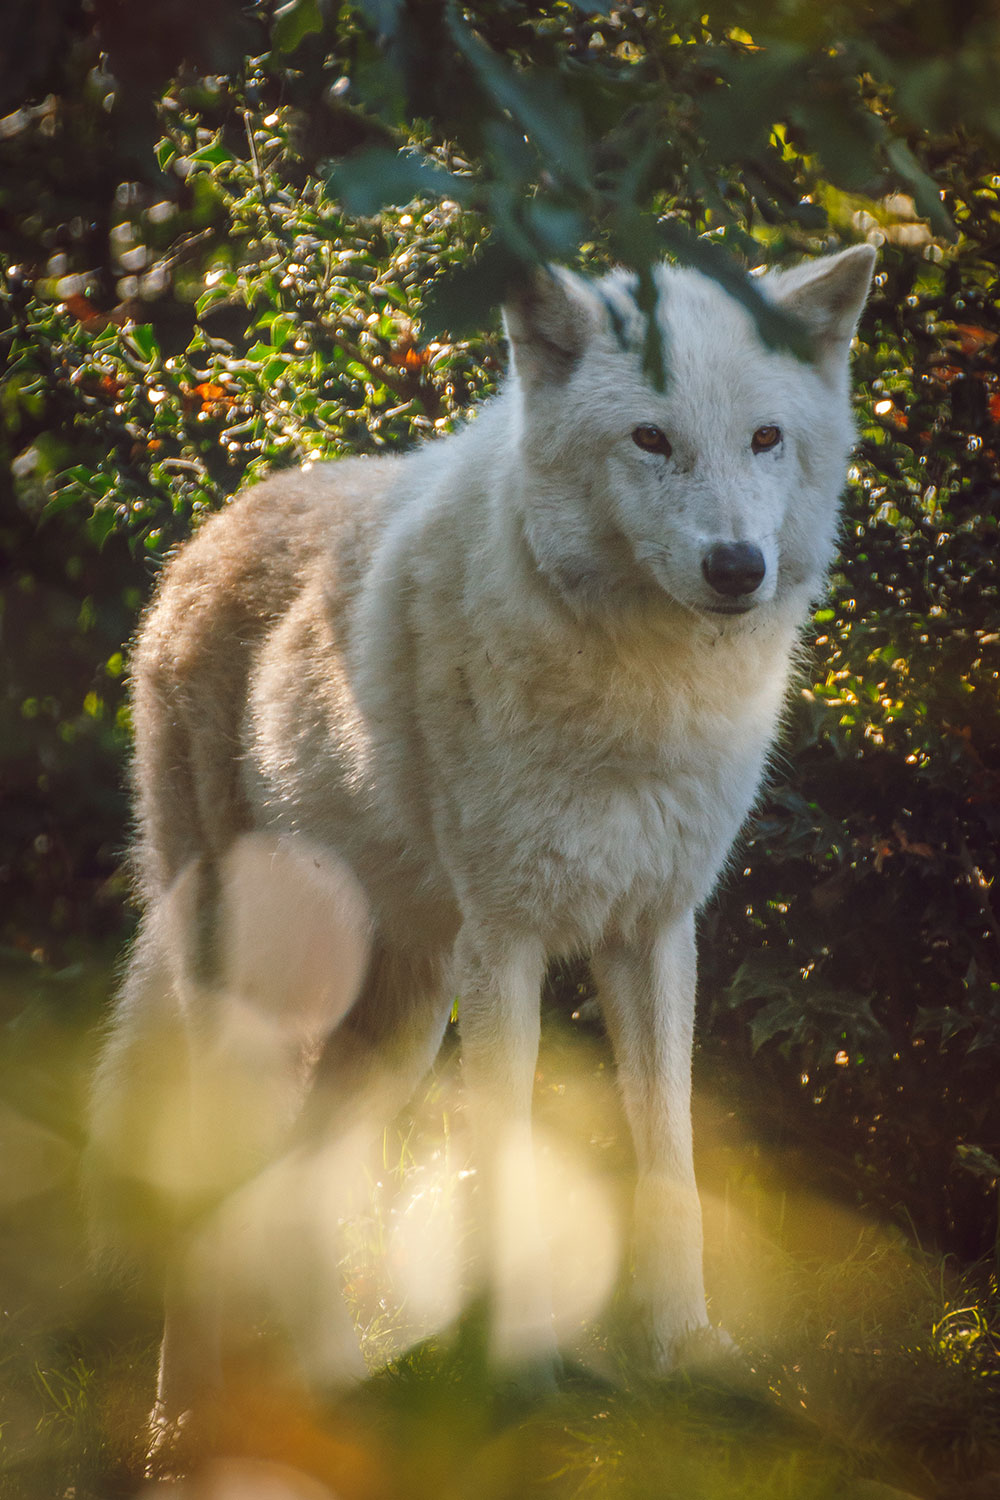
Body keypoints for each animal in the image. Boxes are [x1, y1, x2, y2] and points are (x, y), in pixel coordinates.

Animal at [91, 240, 875, 1434]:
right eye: (651, 438)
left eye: (766, 438)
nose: (738, 566)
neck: (640, 701)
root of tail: (209, 532)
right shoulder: (505, 943)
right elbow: (504, 1159)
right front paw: (514, 1371)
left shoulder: (655, 933)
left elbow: (673, 1159)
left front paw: (683, 1351)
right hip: (262, 994)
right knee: (212, 1164)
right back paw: (180, 1422)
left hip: (397, 1023)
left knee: (301, 1186)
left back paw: (330, 1390)